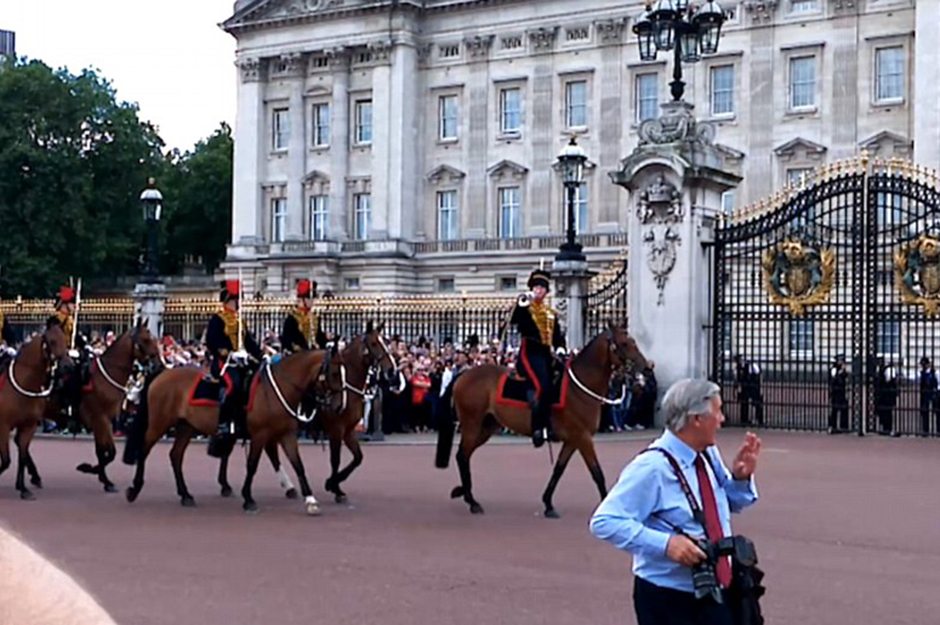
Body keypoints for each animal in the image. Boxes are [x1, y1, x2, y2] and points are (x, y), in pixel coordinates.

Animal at [0, 320, 74, 500]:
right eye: (52, 341)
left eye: (65, 339)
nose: (67, 366)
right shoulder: (3, 427)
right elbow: (6, 461)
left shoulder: (28, 426)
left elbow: (21, 455)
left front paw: (23, 488)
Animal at [123, 346, 346, 512]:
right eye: (334, 373)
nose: (339, 407)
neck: (279, 389)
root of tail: (162, 373)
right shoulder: (261, 435)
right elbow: (252, 465)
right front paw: (248, 499)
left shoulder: (286, 434)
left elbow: (298, 464)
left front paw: (311, 500)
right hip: (159, 423)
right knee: (144, 450)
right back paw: (134, 489)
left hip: (185, 426)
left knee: (176, 456)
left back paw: (185, 495)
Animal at [436, 322, 648, 516]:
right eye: (624, 343)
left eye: (633, 342)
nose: (647, 368)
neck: (579, 387)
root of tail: (464, 374)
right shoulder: (583, 438)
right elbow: (597, 473)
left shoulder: (573, 440)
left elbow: (559, 470)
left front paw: (548, 504)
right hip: (472, 425)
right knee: (462, 456)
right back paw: (471, 501)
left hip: (486, 427)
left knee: (464, 456)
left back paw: (464, 493)